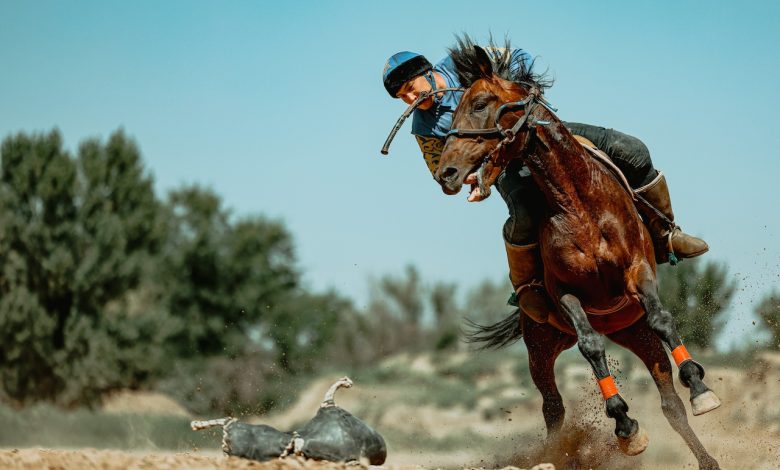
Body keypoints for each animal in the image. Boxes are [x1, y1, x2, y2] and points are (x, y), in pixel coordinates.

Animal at [432, 38, 720, 468]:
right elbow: (591, 346)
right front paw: (625, 426)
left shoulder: (638, 272)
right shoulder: (567, 295)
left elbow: (663, 319)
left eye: (480, 103)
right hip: (540, 345)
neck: (579, 202)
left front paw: (700, 387)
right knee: (553, 409)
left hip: (634, 332)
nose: (446, 173)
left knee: (670, 402)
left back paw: (706, 456)